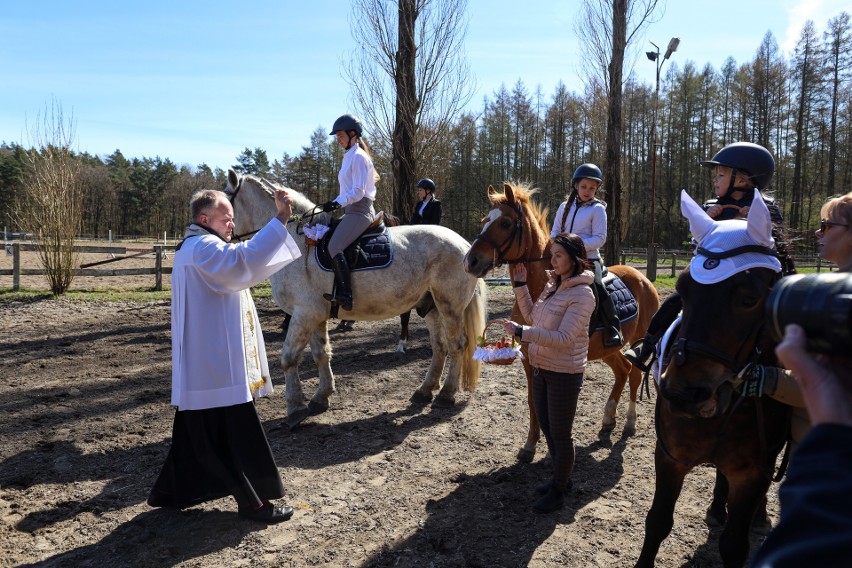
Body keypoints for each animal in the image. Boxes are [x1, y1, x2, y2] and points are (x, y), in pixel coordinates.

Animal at [226, 171, 486, 428]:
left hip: (450, 307)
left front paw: (295, 408)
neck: (295, 243)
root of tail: (464, 244)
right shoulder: (315, 315)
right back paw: (424, 391)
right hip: (431, 307)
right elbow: (321, 353)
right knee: (439, 346)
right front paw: (321, 397)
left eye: (226, 200)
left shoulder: (304, 314)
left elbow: (289, 358)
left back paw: (446, 395)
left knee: (457, 346)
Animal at [466, 182, 660, 462]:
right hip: (606, 348)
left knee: (634, 374)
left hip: (638, 339)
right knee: (622, 370)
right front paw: (529, 446)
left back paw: (629, 423)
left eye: (504, 223)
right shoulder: (529, 358)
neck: (543, 289)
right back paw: (608, 420)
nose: (470, 261)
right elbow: (533, 401)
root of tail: (643, 278)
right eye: (484, 220)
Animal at [632, 192, 792, 568]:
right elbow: (657, 522)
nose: (684, 394)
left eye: (750, 298)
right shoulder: (671, 456)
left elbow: (734, 545)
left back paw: (758, 516)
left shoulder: (752, 473)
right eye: (683, 289)